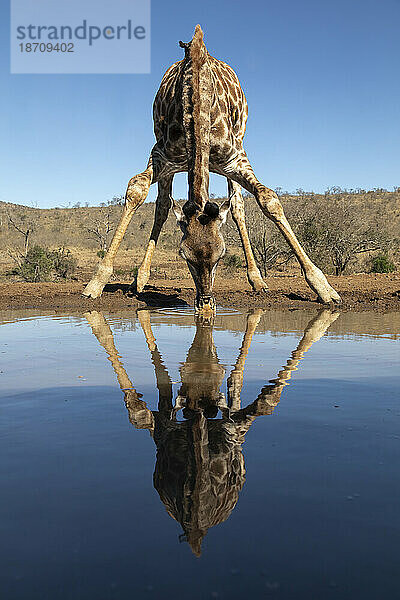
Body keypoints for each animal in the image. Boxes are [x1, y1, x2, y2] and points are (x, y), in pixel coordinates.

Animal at [83, 25, 340, 312]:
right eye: (184, 255)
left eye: (222, 253)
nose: (206, 303)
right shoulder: (161, 155)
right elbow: (137, 190)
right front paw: (96, 282)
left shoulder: (235, 159)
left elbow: (268, 199)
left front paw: (324, 288)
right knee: (162, 206)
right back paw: (140, 278)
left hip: (238, 146)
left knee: (238, 206)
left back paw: (257, 280)